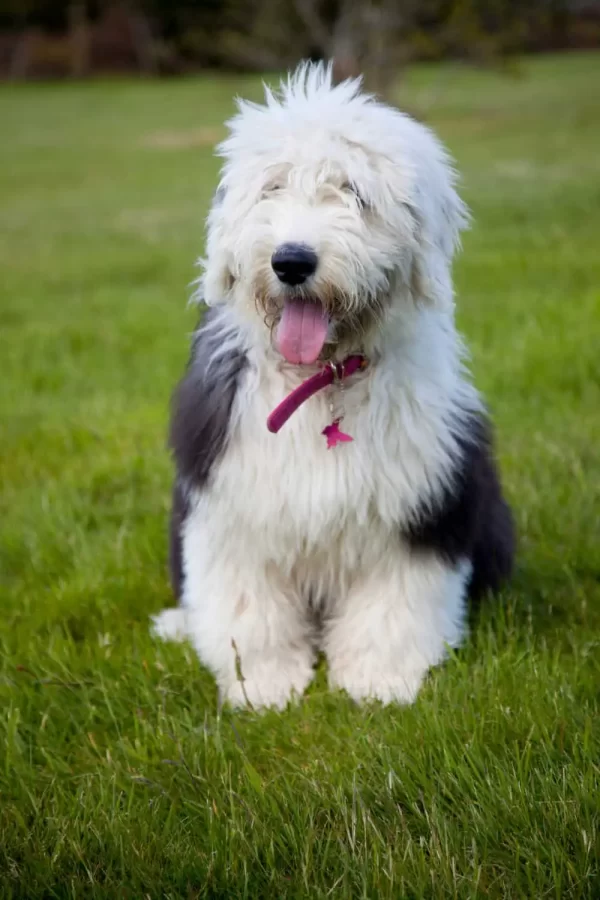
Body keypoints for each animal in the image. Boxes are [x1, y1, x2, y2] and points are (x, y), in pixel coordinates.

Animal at [152, 63, 512, 712]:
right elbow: (248, 609)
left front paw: (379, 681)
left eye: (354, 194)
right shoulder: (231, 503)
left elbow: (393, 604)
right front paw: (265, 686)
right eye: (271, 188)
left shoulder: (418, 504)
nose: (292, 261)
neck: (320, 383)